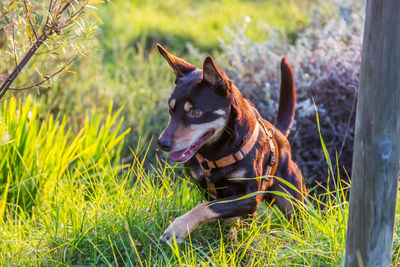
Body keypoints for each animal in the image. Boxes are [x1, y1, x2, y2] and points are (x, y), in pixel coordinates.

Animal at [155, 44, 306, 245]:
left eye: (196, 112)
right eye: (171, 110)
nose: (162, 143)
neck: (216, 152)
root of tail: (280, 133)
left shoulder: (250, 197)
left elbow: (208, 206)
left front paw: (178, 228)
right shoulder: (204, 186)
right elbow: (214, 205)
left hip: (293, 202)